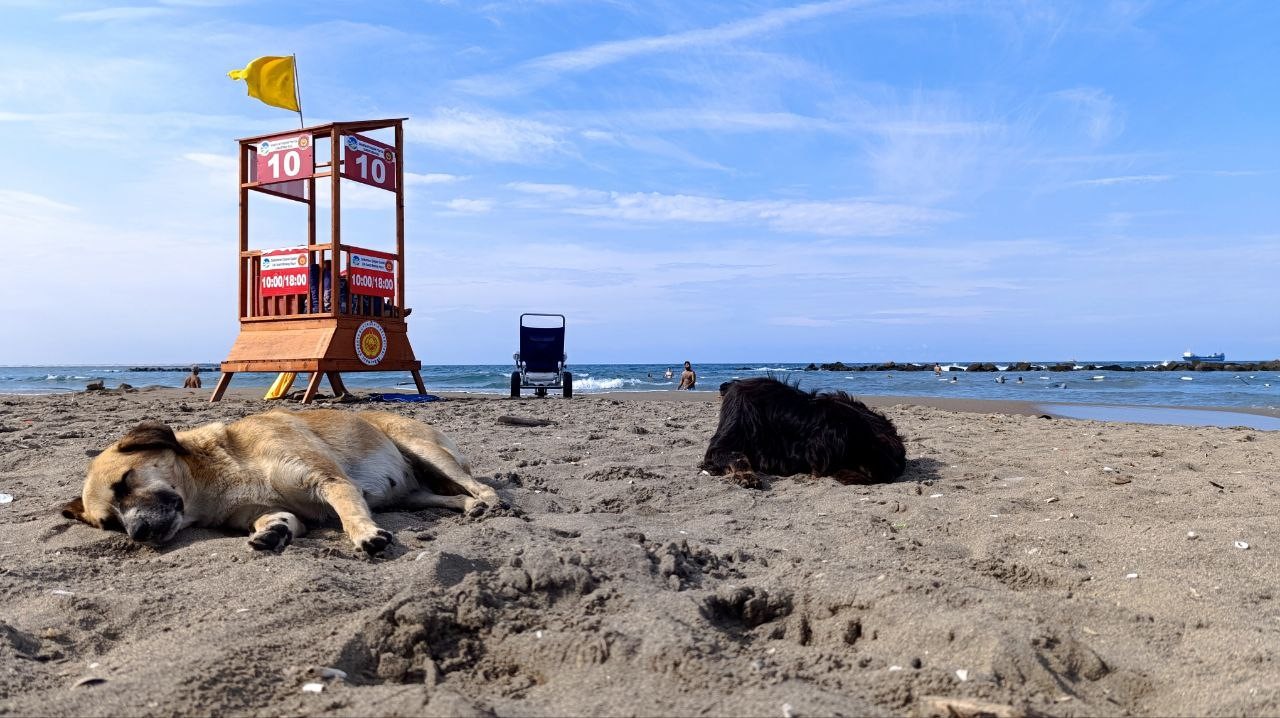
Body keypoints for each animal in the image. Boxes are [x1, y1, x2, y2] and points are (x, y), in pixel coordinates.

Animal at [62, 409, 496, 555]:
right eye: (109, 524)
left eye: (124, 482)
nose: (136, 533)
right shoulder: (263, 510)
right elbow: (280, 519)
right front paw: (273, 532)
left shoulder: (328, 480)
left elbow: (350, 512)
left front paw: (365, 534)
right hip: (412, 496)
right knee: (440, 497)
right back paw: (470, 507)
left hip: (424, 450)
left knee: (475, 483)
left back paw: (490, 501)